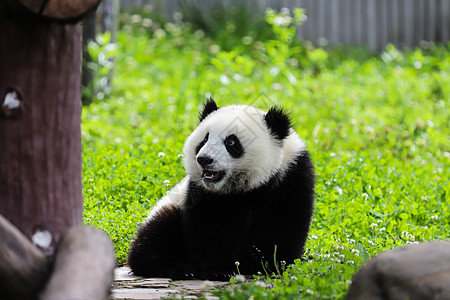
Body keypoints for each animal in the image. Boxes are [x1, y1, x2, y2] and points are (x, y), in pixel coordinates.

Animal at [128, 99, 314, 280]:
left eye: (231, 142)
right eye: (204, 140)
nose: (204, 159)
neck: (248, 187)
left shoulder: (290, 176)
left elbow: (285, 221)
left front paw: (272, 263)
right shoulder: (204, 193)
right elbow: (211, 227)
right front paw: (220, 270)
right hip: (172, 206)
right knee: (158, 233)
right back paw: (177, 268)